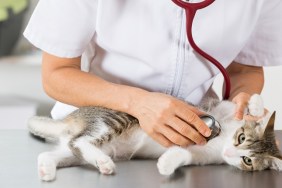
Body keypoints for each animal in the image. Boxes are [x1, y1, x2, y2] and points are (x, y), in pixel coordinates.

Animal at [28, 94, 282, 181]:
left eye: (248, 160)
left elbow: (183, 154)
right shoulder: (218, 109)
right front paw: (257, 106)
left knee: (55, 152)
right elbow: (237, 104)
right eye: (241, 138)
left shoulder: (200, 155)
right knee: (79, 141)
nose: (230, 152)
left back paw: (47, 170)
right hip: (112, 120)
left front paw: (166, 164)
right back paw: (103, 162)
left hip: (73, 152)